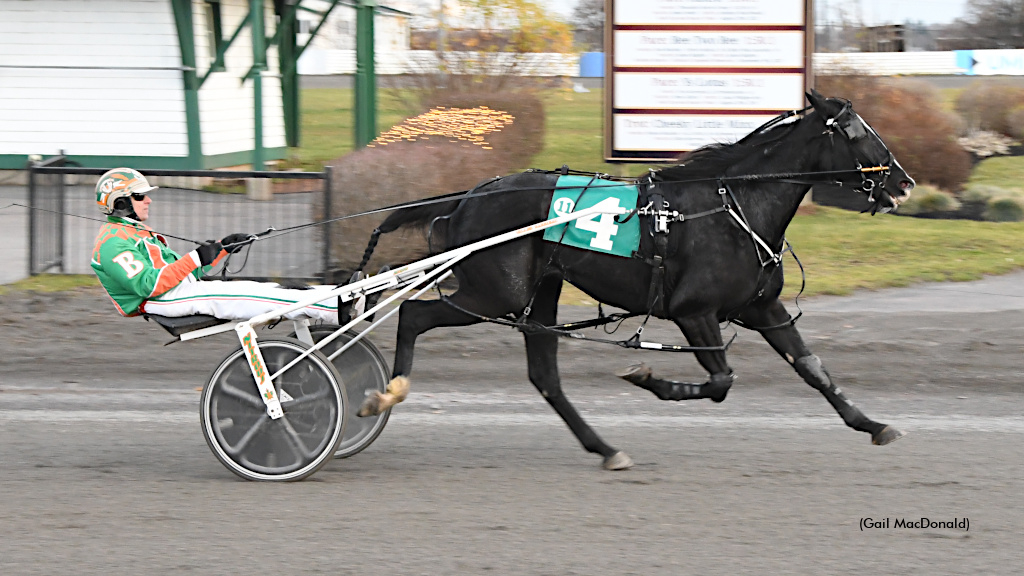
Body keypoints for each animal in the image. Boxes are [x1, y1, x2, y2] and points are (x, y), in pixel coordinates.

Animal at [358, 89, 913, 467]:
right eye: (856, 132)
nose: (904, 183)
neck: (734, 207)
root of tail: (468, 197)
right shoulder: (695, 312)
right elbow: (720, 382)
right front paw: (648, 378)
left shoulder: (762, 307)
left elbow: (813, 368)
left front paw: (873, 424)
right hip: (495, 292)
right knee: (414, 314)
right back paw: (386, 393)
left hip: (539, 293)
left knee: (544, 376)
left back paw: (605, 448)